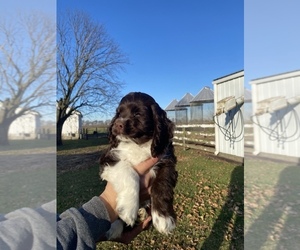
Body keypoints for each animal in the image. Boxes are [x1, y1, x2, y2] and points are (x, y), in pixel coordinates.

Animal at [98, 92, 178, 240]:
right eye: (118, 113)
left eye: (138, 114)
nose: (117, 124)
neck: (137, 144)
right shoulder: (108, 159)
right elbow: (129, 172)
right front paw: (128, 209)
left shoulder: (167, 161)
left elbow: (162, 184)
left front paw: (164, 219)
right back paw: (115, 226)